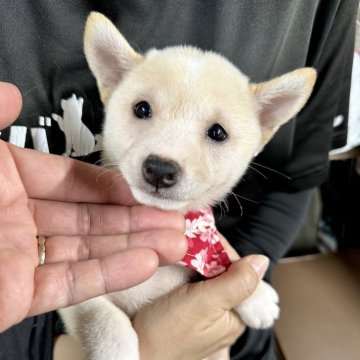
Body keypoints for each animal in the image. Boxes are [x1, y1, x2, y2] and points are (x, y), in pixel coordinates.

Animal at [58, 11, 316, 360]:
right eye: (142, 109)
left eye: (218, 132)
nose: (159, 169)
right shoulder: (77, 290)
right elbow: (101, 318)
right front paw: (116, 350)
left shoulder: (207, 248)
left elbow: (226, 254)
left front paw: (257, 294)